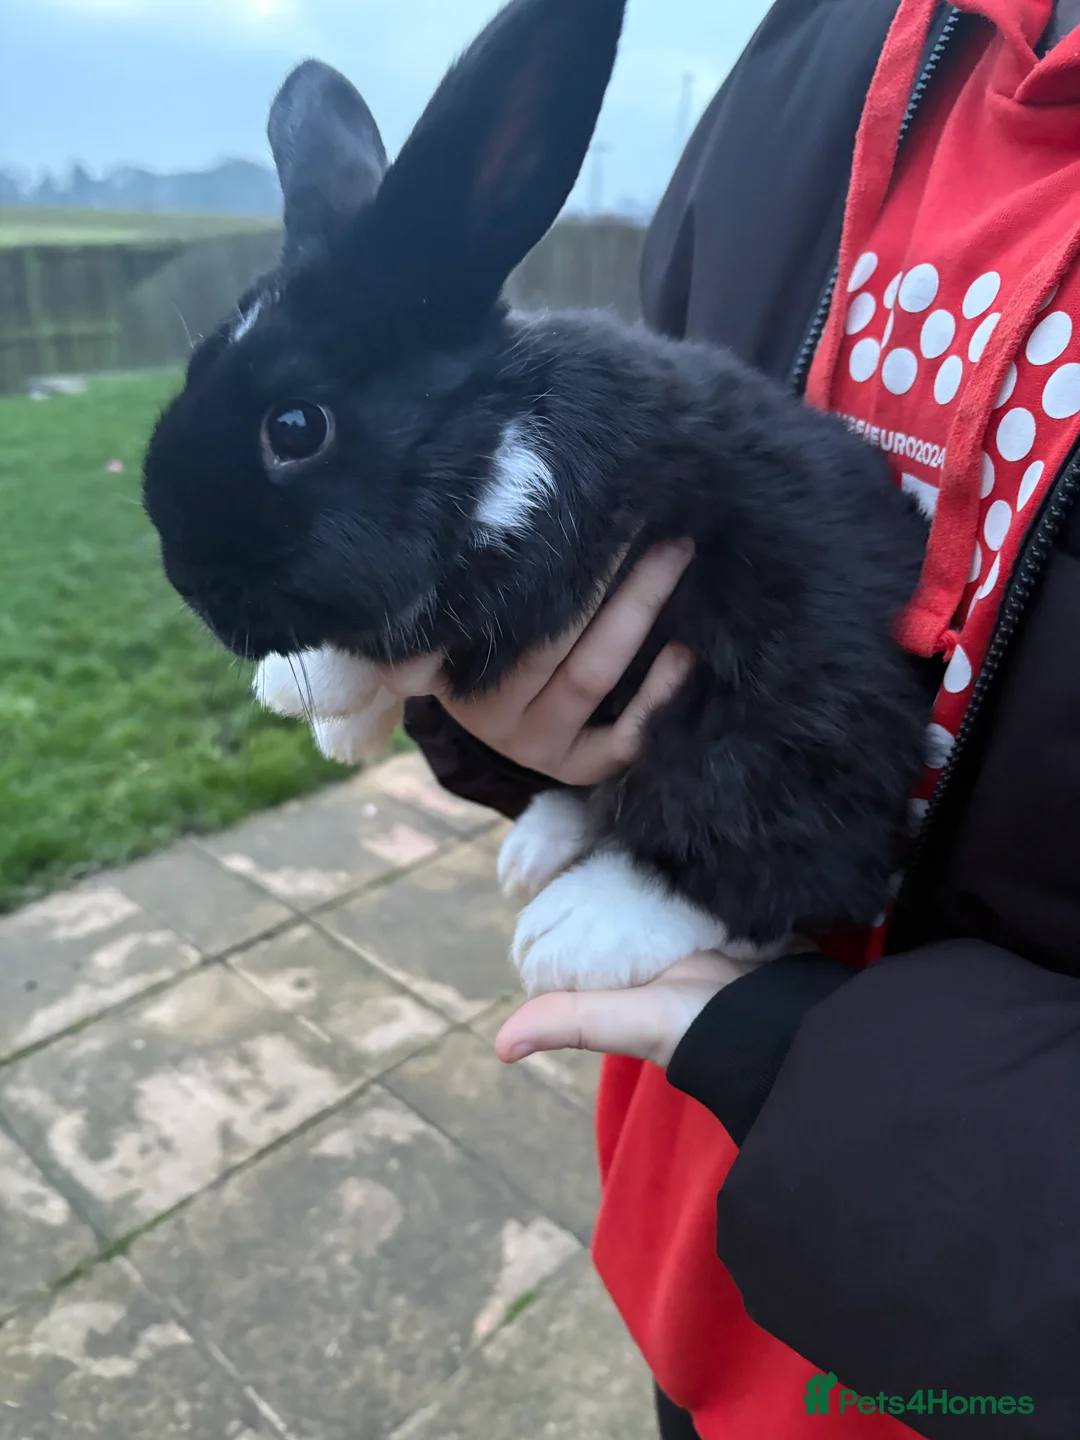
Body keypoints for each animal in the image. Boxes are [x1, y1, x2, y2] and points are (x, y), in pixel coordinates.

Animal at [142, 0, 932, 997]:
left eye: (295, 427)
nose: (185, 576)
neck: (491, 430)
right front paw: (334, 720)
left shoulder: (526, 572)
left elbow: (405, 646)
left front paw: (310, 692)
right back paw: (538, 847)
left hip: (781, 727)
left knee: (775, 868)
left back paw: (577, 926)